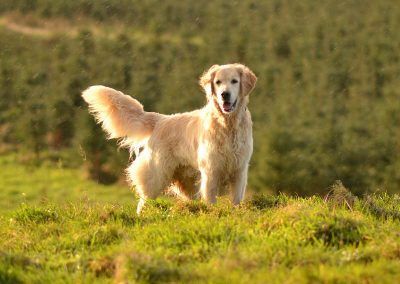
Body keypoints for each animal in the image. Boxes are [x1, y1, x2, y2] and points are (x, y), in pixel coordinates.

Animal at [83, 62, 258, 213]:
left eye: (234, 81)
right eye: (218, 82)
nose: (224, 94)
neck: (228, 124)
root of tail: (160, 120)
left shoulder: (240, 169)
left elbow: (236, 200)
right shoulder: (211, 170)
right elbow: (210, 201)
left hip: (187, 181)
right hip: (156, 176)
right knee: (143, 202)